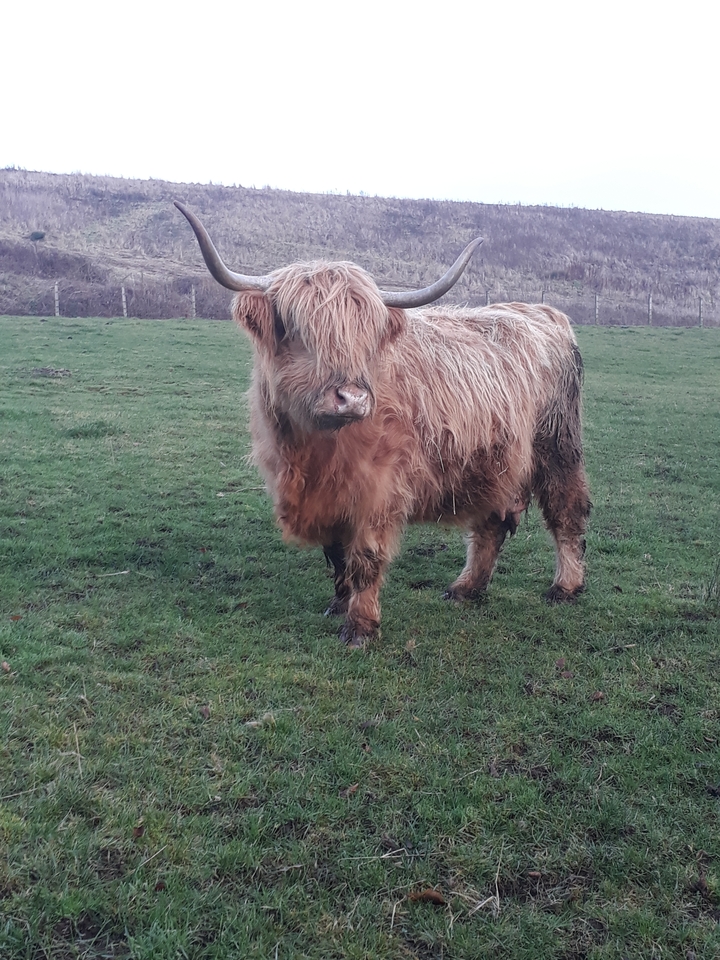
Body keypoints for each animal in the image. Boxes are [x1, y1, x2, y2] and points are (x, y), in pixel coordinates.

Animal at [175, 201, 591, 648]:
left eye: (367, 335)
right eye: (299, 330)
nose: (352, 397)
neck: (315, 451)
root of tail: (544, 313)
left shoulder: (379, 491)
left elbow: (365, 557)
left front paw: (360, 625)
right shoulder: (330, 495)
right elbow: (337, 554)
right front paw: (338, 602)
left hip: (557, 444)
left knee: (566, 510)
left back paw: (565, 586)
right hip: (493, 462)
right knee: (490, 524)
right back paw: (465, 588)